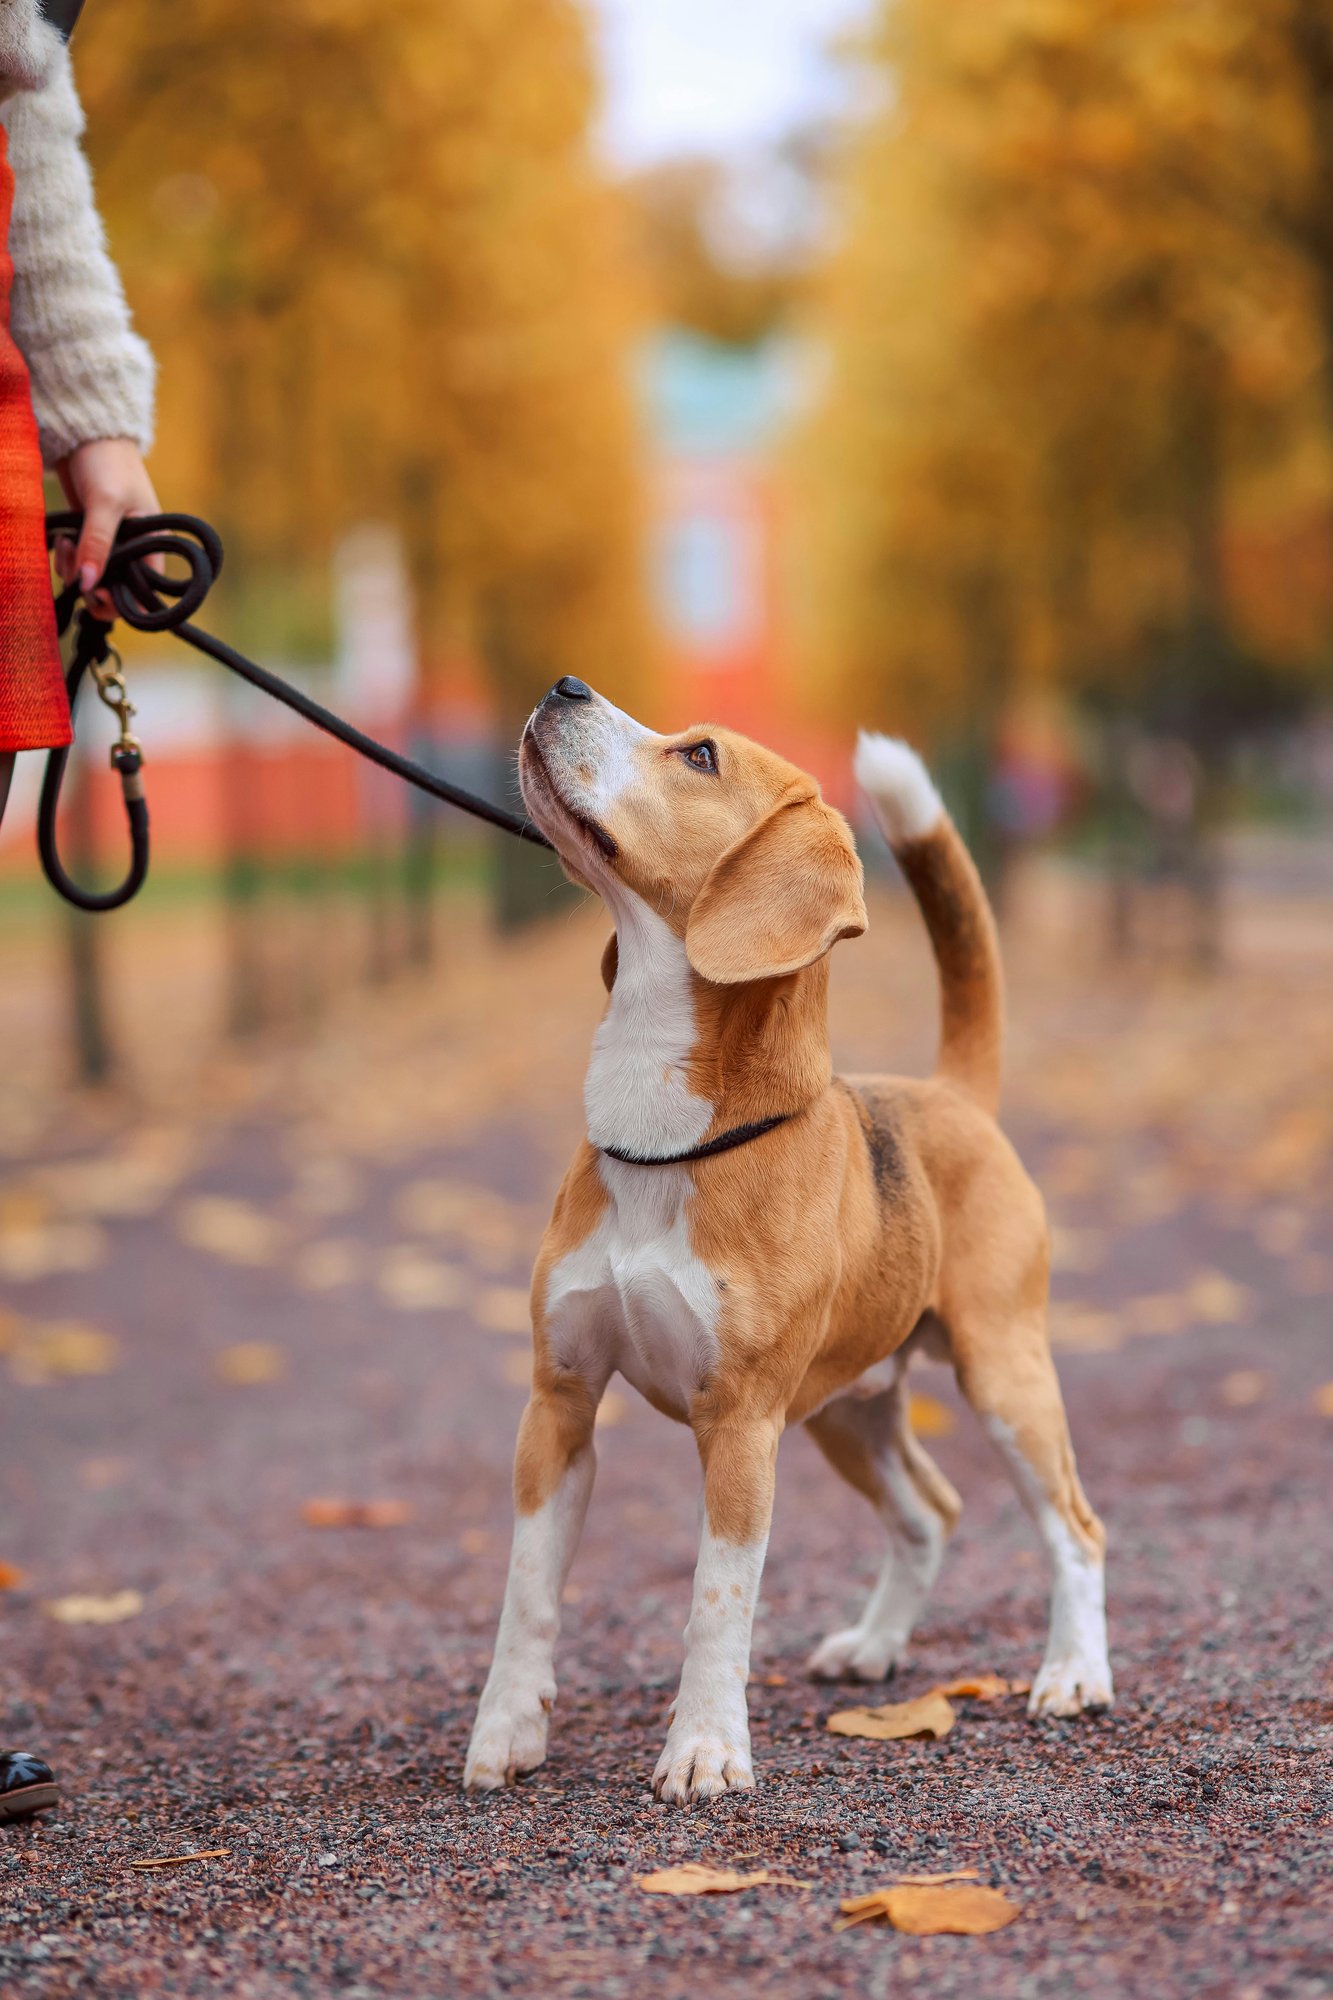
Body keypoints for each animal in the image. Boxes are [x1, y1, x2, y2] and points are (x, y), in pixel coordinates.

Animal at [462, 680, 1104, 1808]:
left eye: (700, 756)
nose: (563, 687)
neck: (665, 1140)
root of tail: (950, 1094)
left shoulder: (740, 1427)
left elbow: (716, 1602)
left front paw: (704, 1748)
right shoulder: (558, 1404)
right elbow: (527, 1594)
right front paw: (505, 1731)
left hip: (1002, 1377)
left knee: (1076, 1528)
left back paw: (1073, 1673)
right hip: (848, 1409)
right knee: (929, 1511)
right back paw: (876, 1646)